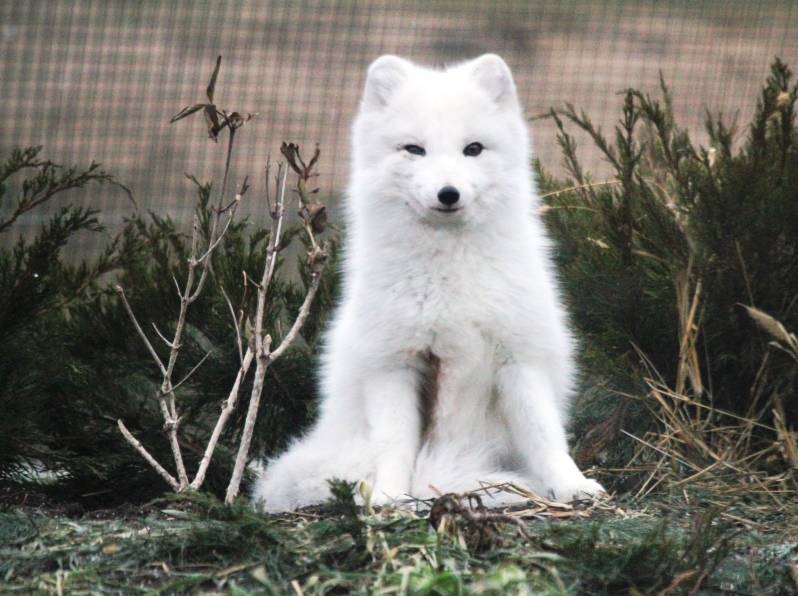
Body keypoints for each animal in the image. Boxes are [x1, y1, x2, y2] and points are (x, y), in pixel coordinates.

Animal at [256, 53, 608, 510]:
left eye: (473, 149)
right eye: (414, 149)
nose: (448, 193)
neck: (448, 278)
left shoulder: (519, 359)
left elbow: (545, 435)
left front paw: (571, 485)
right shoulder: (394, 365)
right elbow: (394, 445)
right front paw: (388, 495)